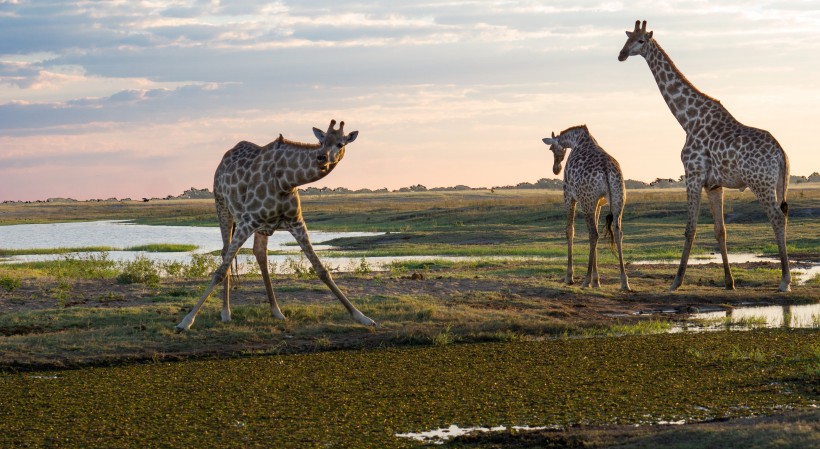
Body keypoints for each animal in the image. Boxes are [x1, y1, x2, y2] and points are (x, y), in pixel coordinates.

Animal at [178, 121, 376, 330]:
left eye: (340, 143)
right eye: (321, 141)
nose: (322, 157)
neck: (286, 181)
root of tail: (223, 160)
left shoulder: (296, 221)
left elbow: (322, 269)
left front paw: (361, 316)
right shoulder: (247, 220)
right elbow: (220, 272)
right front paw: (186, 321)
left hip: (261, 226)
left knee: (259, 253)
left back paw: (276, 311)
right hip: (222, 206)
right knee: (225, 253)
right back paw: (226, 312)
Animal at [540, 124, 632, 290]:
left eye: (551, 148)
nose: (556, 169)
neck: (575, 141)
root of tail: (606, 170)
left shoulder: (569, 196)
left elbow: (570, 231)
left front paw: (569, 277)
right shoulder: (598, 203)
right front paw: (596, 281)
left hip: (587, 202)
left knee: (593, 234)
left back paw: (585, 280)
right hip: (617, 201)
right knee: (617, 233)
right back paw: (624, 282)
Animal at [620, 21, 792, 292]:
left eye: (641, 41)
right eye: (627, 39)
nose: (622, 54)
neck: (687, 119)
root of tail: (781, 153)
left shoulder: (693, 175)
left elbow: (690, 228)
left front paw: (676, 282)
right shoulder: (713, 184)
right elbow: (720, 230)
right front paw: (729, 282)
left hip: (760, 183)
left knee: (777, 217)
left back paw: (785, 281)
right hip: (776, 183)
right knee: (782, 215)